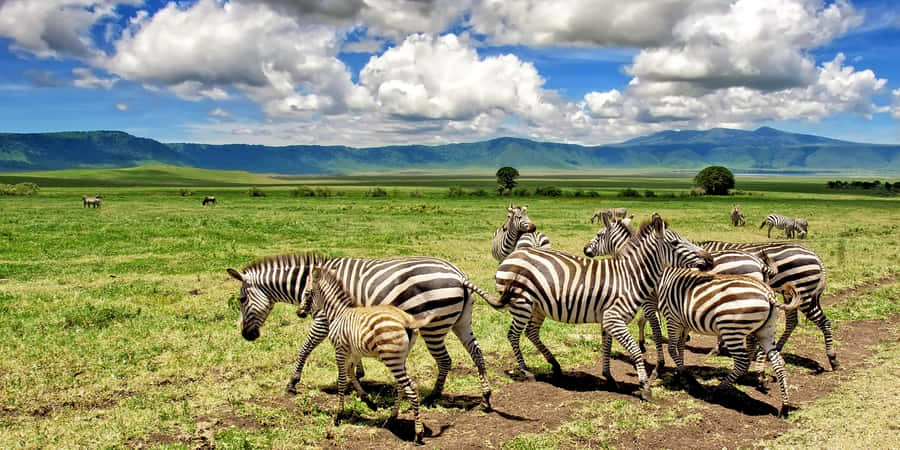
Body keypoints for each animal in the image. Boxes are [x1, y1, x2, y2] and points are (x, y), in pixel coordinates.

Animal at [226, 252, 508, 409]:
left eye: (241, 299)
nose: (247, 336)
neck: (314, 283)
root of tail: (459, 275)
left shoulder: (323, 319)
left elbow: (305, 347)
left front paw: (292, 382)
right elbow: (352, 352)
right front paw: (359, 374)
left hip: (434, 326)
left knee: (445, 360)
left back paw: (433, 397)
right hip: (461, 322)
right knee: (477, 353)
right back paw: (486, 397)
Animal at [297, 267, 435, 443]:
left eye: (307, 293)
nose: (299, 312)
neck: (338, 313)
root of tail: (407, 320)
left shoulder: (340, 349)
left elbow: (342, 380)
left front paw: (338, 415)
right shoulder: (354, 352)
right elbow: (351, 372)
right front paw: (368, 401)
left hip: (391, 357)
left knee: (411, 387)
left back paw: (418, 433)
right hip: (399, 357)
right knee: (402, 385)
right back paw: (391, 418)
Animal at [495, 213, 713, 401]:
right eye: (676, 243)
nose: (710, 259)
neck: (630, 277)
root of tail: (513, 255)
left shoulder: (608, 319)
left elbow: (607, 348)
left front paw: (609, 377)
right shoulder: (614, 318)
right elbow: (635, 350)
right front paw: (645, 387)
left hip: (538, 306)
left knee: (531, 332)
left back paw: (555, 365)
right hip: (522, 304)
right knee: (513, 335)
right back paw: (526, 371)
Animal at [645, 268, 801, 416]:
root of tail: (768, 292)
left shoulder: (673, 319)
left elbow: (672, 348)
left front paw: (687, 377)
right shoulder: (684, 322)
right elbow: (680, 346)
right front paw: (680, 373)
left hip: (732, 329)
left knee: (742, 362)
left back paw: (717, 391)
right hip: (766, 331)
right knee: (779, 362)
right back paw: (784, 407)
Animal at [699, 240, 835, 370]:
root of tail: (813, 254)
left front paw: (717, 347)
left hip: (803, 292)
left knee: (823, 321)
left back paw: (832, 358)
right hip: (791, 294)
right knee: (792, 321)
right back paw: (777, 349)